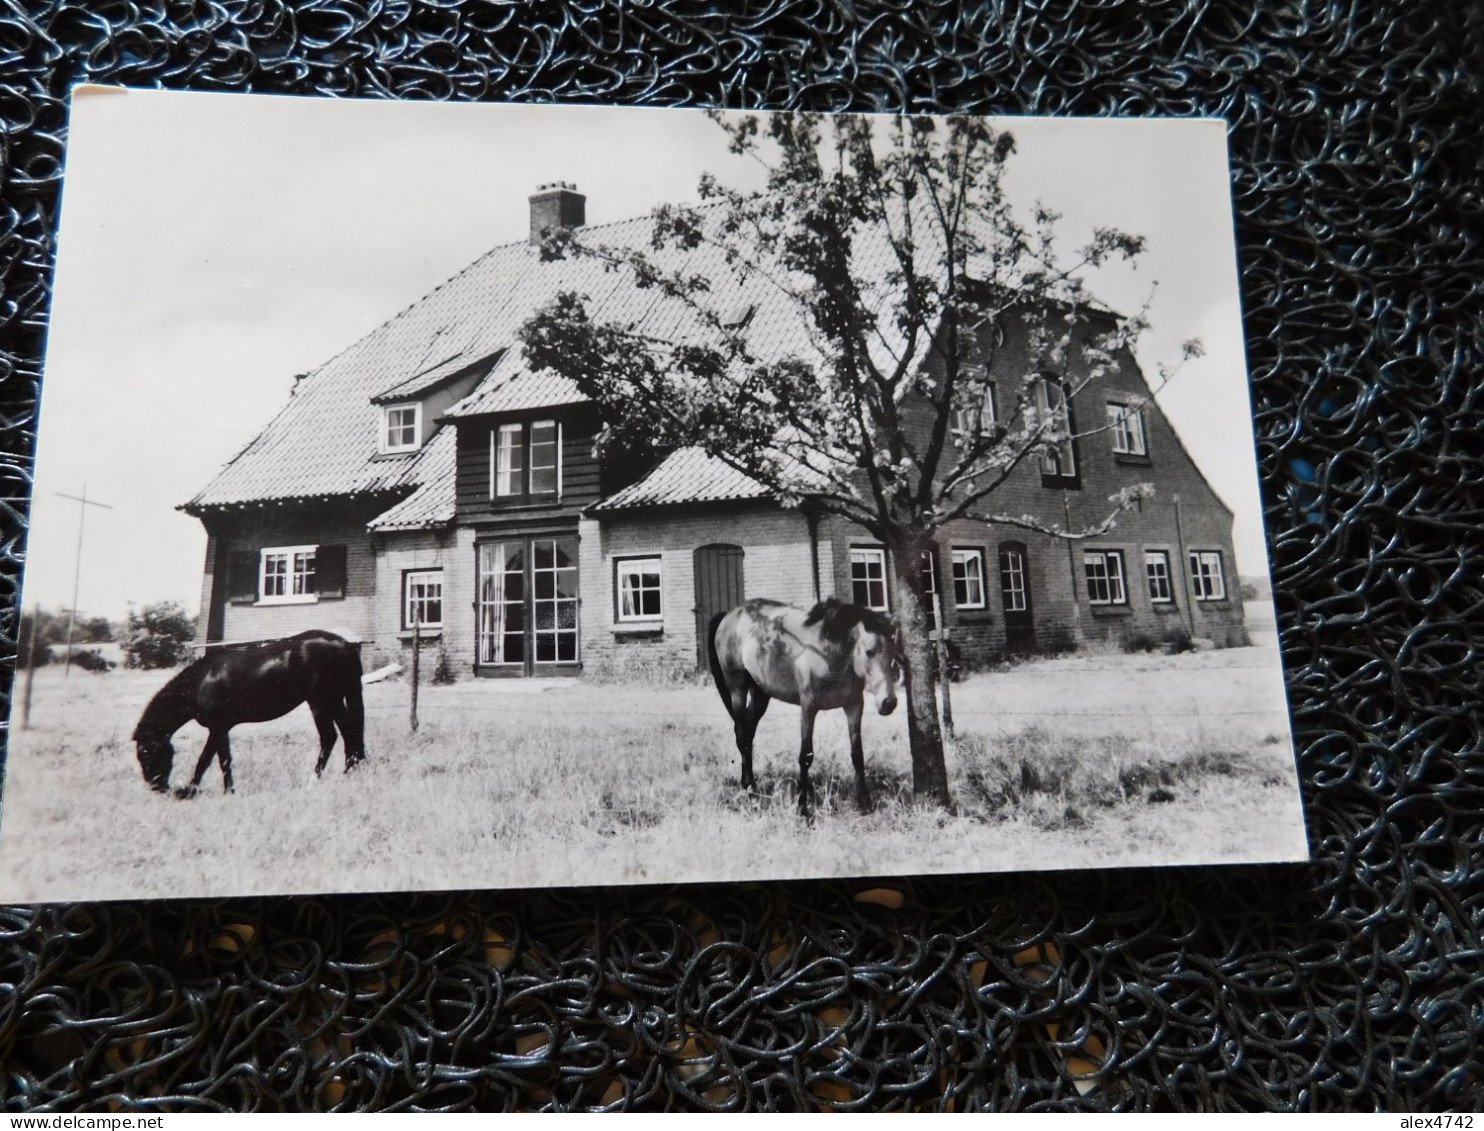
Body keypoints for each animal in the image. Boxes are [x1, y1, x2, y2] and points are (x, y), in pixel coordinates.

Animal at [132, 626, 365, 795]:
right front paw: (222, 790)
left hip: (321, 701)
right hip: (335, 699)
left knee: (330, 736)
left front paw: (196, 790)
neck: (201, 681)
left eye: (145, 753)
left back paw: (314, 780)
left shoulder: (217, 727)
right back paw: (350, 772)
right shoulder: (221, 729)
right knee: (350, 732)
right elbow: (219, 759)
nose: (157, 788)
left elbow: (210, 760)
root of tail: (343, 643)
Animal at [706, 599, 902, 813]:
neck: (829, 653)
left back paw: (751, 786)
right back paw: (750, 790)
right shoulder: (808, 707)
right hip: (738, 688)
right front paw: (802, 808)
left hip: (760, 693)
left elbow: (857, 753)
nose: (888, 702)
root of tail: (730, 615)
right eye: (869, 652)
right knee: (741, 735)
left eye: (893, 653)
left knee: (748, 735)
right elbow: (805, 756)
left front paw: (864, 802)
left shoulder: (854, 705)